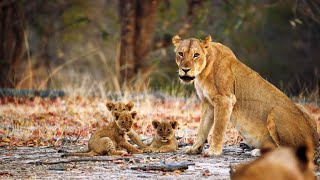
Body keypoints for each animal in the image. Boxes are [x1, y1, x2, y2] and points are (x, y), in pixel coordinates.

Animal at [174, 35, 318, 156]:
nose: (185, 70)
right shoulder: (207, 102)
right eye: (180, 54)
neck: (203, 72)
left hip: (276, 111)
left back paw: (257, 152)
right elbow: (202, 128)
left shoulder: (225, 100)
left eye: (196, 55)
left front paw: (214, 151)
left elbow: (218, 129)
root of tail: (316, 139)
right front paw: (194, 149)